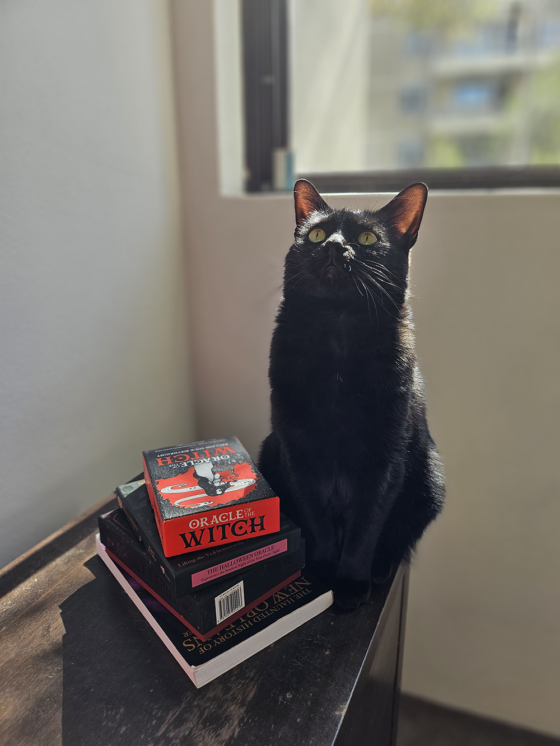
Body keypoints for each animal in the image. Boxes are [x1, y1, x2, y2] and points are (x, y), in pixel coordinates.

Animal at [258, 182, 446, 612]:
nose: (334, 246)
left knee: (396, 537)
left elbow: (366, 529)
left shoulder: (385, 464)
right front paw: (324, 569)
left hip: (429, 481)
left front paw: (351, 583)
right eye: (315, 234)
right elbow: (317, 521)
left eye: (367, 239)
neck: (338, 336)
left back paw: (379, 570)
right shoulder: (297, 455)